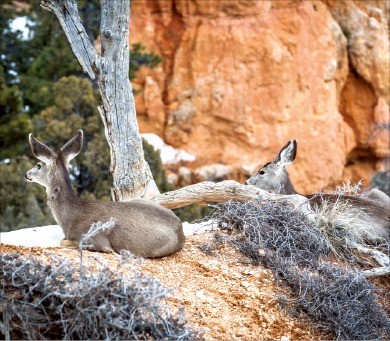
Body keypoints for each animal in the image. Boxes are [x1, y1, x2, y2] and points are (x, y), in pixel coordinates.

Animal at [25, 131, 185, 258]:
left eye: (38, 165)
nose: (26, 174)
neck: (70, 217)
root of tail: (180, 231)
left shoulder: (97, 241)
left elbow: (64, 241)